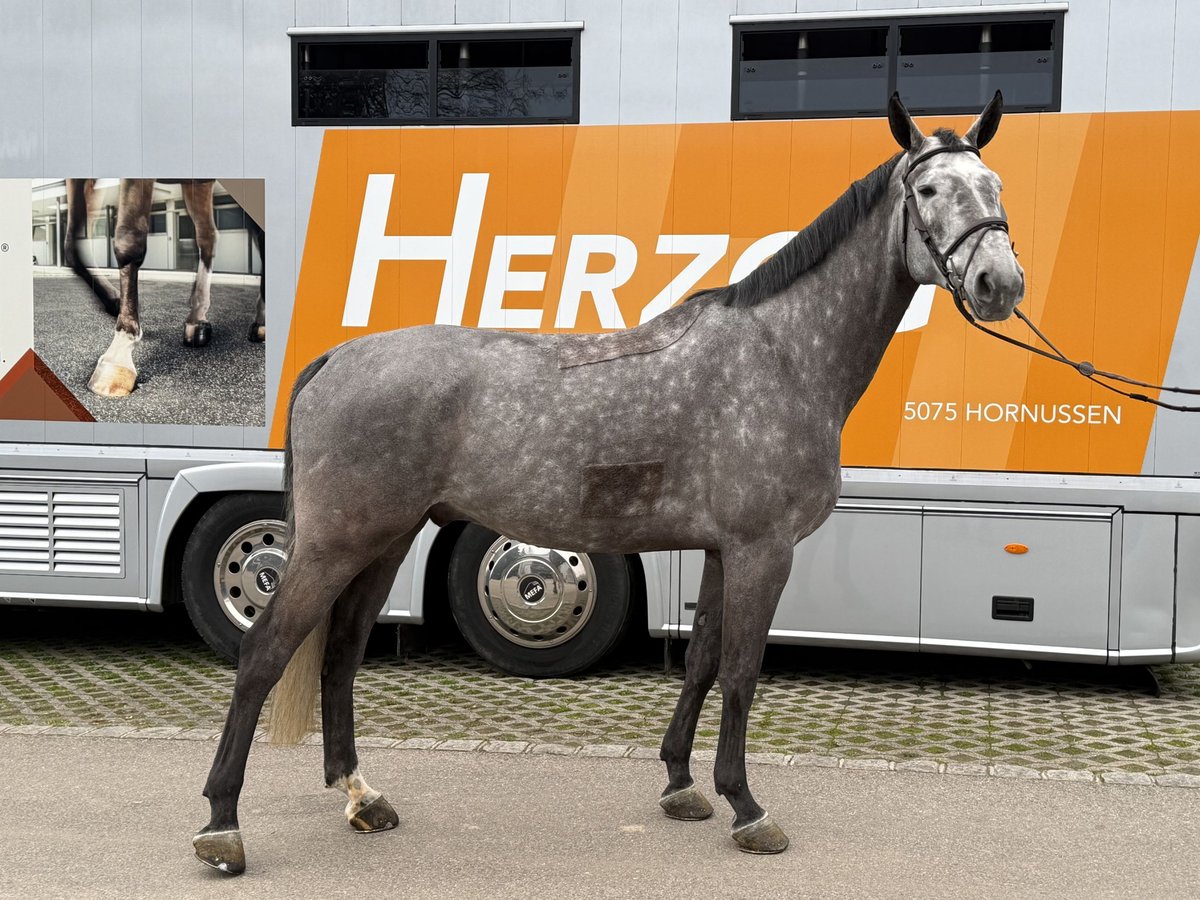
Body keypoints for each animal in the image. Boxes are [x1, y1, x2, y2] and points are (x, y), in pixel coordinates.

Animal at [63, 178, 266, 398]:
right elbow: (70, 248)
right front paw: (114, 302)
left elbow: (128, 241)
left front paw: (119, 352)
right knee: (207, 236)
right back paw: (197, 318)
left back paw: (260, 320)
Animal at [193, 92, 1024, 874]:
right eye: (929, 189)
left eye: (994, 184)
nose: (999, 282)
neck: (781, 354)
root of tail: (335, 359)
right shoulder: (763, 550)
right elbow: (742, 673)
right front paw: (747, 808)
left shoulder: (721, 550)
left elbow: (701, 662)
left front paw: (682, 785)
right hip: (332, 544)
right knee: (264, 653)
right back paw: (221, 828)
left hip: (385, 541)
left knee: (340, 652)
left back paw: (362, 797)